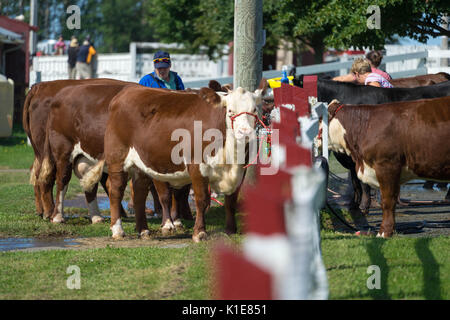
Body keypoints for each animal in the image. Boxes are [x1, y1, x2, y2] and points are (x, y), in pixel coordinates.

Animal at [83, 86, 262, 241]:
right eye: (230, 110)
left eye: (254, 110)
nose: (245, 133)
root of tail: (127, 91)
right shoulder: (197, 167)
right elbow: (202, 200)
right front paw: (199, 232)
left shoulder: (240, 171)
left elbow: (231, 202)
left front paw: (231, 230)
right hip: (117, 158)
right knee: (116, 189)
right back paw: (118, 230)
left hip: (140, 165)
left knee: (139, 192)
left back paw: (143, 230)